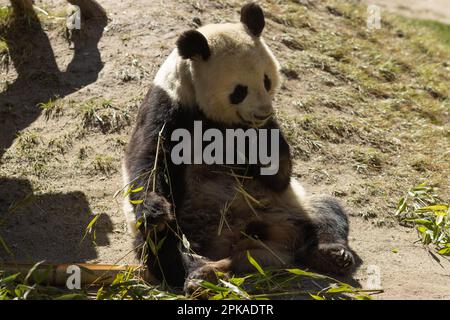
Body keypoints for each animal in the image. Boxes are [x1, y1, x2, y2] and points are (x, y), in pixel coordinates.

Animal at [122, 2, 356, 292]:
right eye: (239, 90)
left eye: (266, 80)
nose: (262, 113)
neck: (217, 120)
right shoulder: (168, 107)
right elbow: (150, 160)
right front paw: (154, 207)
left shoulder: (265, 133)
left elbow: (279, 173)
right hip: (184, 229)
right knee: (164, 246)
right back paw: (199, 274)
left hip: (291, 205)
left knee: (326, 212)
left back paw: (331, 254)